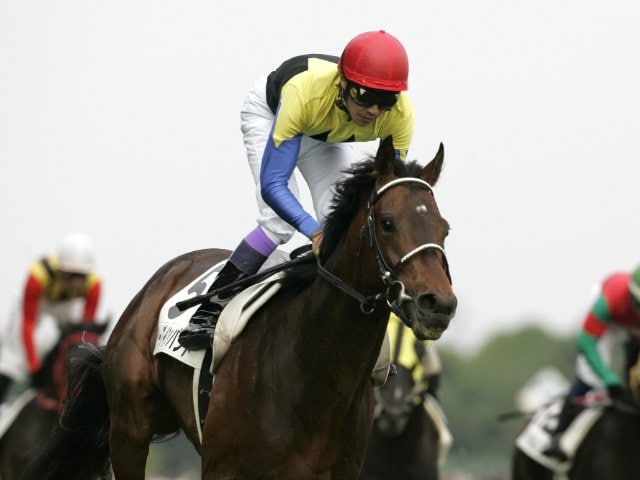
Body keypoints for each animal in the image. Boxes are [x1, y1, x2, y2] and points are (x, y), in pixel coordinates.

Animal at [25, 136, 457, 480]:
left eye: (444, 228)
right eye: (387, 222)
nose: (438, 304)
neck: (314, 373)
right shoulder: (224, 469)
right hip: (129, 430)